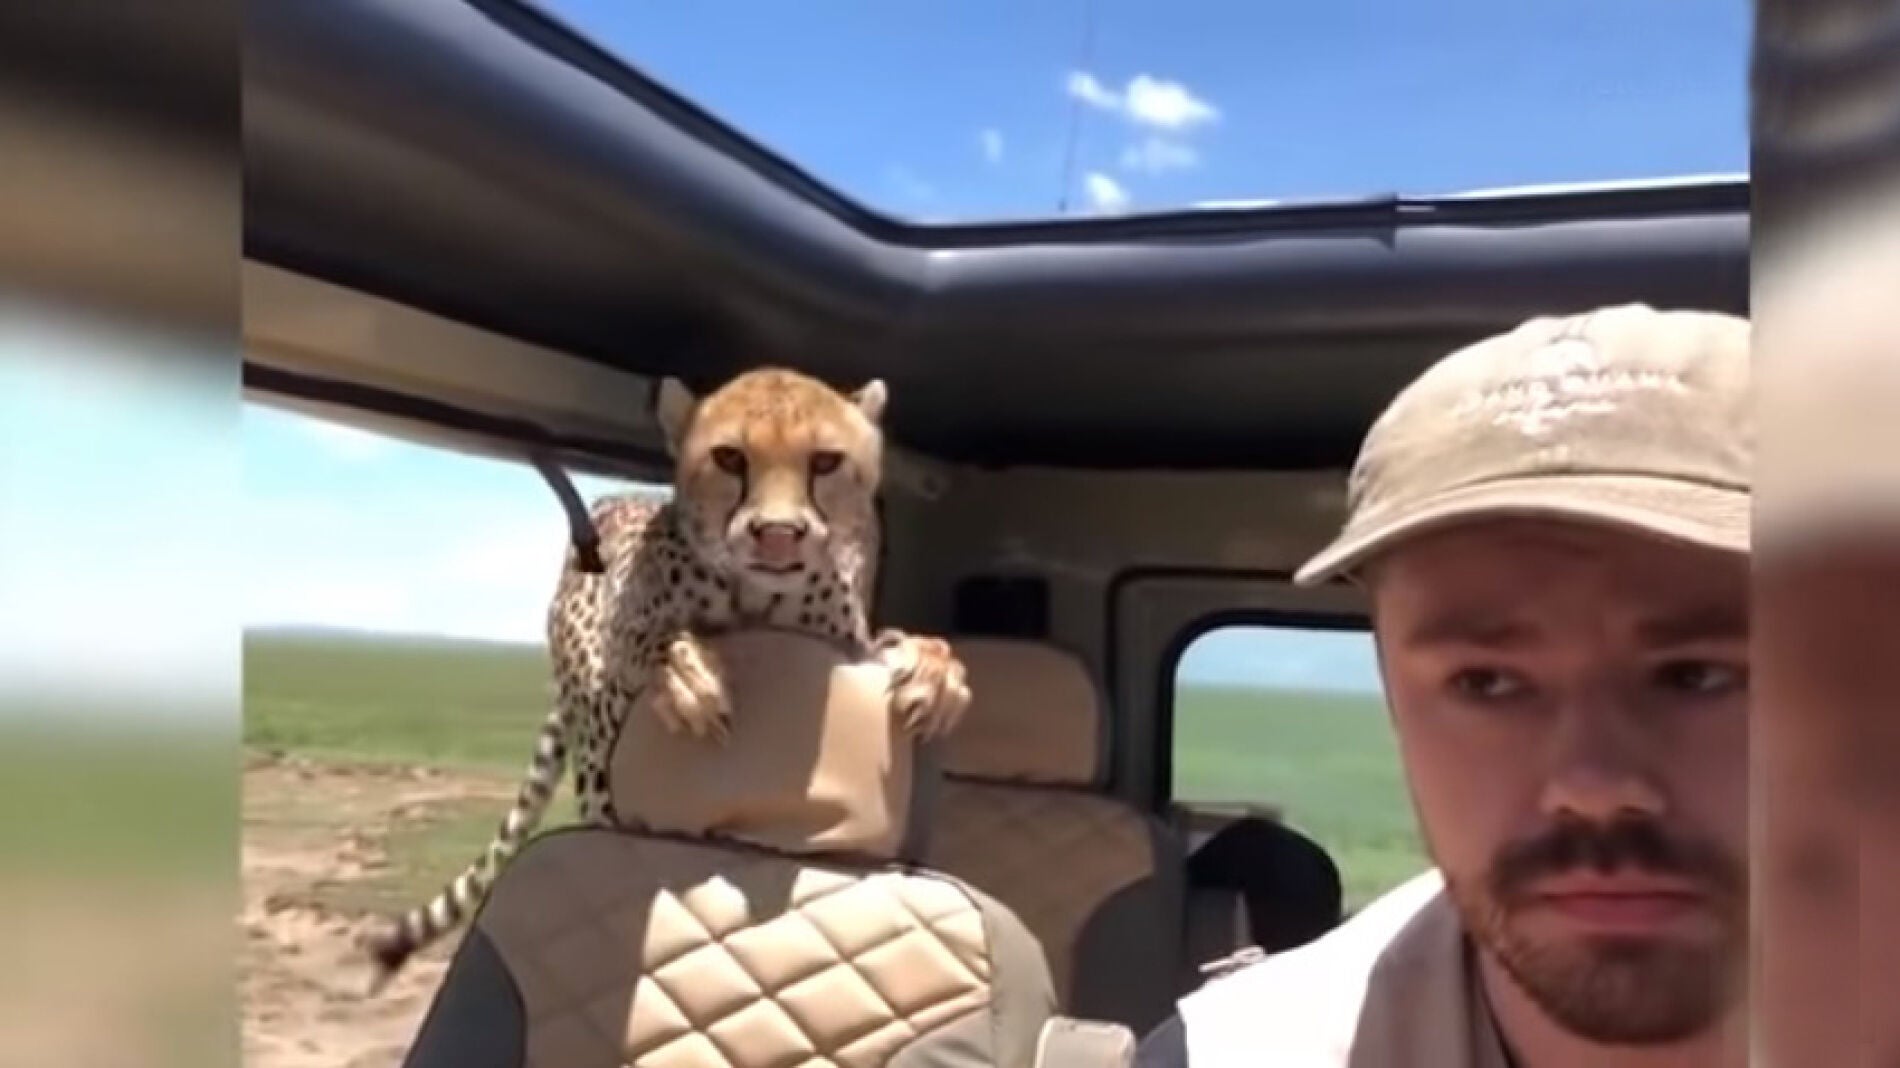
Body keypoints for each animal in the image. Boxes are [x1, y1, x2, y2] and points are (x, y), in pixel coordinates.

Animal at [358, 367, 972, 992]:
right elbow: (646, 641)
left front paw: (935, 671)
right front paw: (687, 674)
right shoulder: (615, 676)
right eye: (729, 457)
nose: (777, 533)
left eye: (825, 462)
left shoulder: (849, 645)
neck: (759, 597)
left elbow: (898, 648)